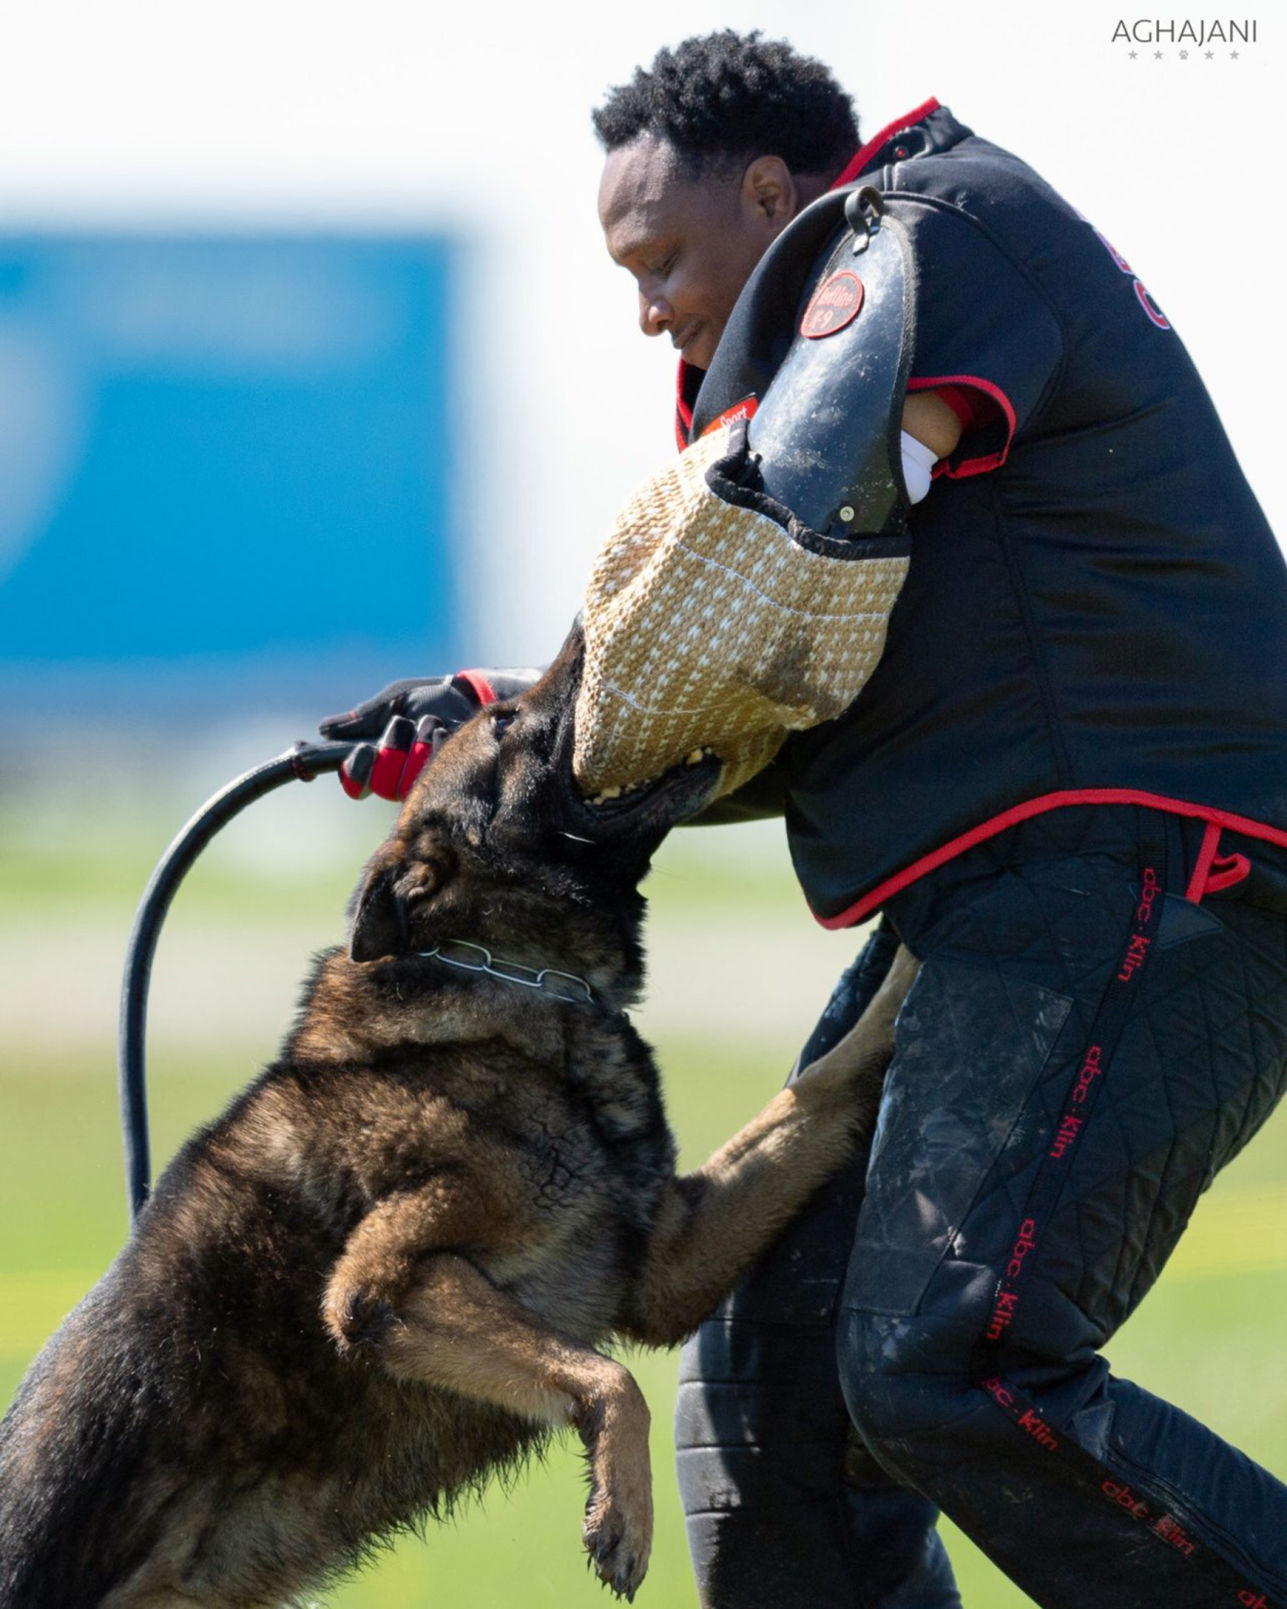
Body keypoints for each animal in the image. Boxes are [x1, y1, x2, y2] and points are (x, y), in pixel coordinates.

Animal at [0, 630, 913, 1609]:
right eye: (505, 721)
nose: (580, 634)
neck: (506, 975)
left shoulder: (674, 1256)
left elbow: (823, 1083)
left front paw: (911, 962)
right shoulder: (384, 1281)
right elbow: (610, 1377)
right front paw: (623, 1513)